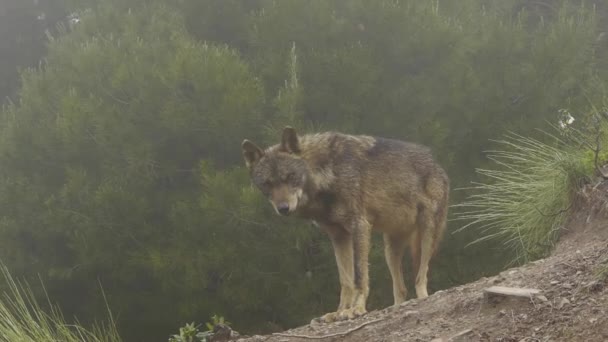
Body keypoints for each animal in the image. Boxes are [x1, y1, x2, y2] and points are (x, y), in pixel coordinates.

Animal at [240, 126, 448, 324]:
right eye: (267, 184)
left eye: (290, 177)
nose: (283, 208)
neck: (329, 172)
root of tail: (437, 164)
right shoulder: (338, 236)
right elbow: (345, 280)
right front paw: (339, 312)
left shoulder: (359, 227)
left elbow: (359, 276)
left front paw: (356, 309)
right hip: (390, 250)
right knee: (401, 289)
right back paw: (397, 306)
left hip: (427, 236)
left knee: (421, 276)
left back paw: (422, 298)